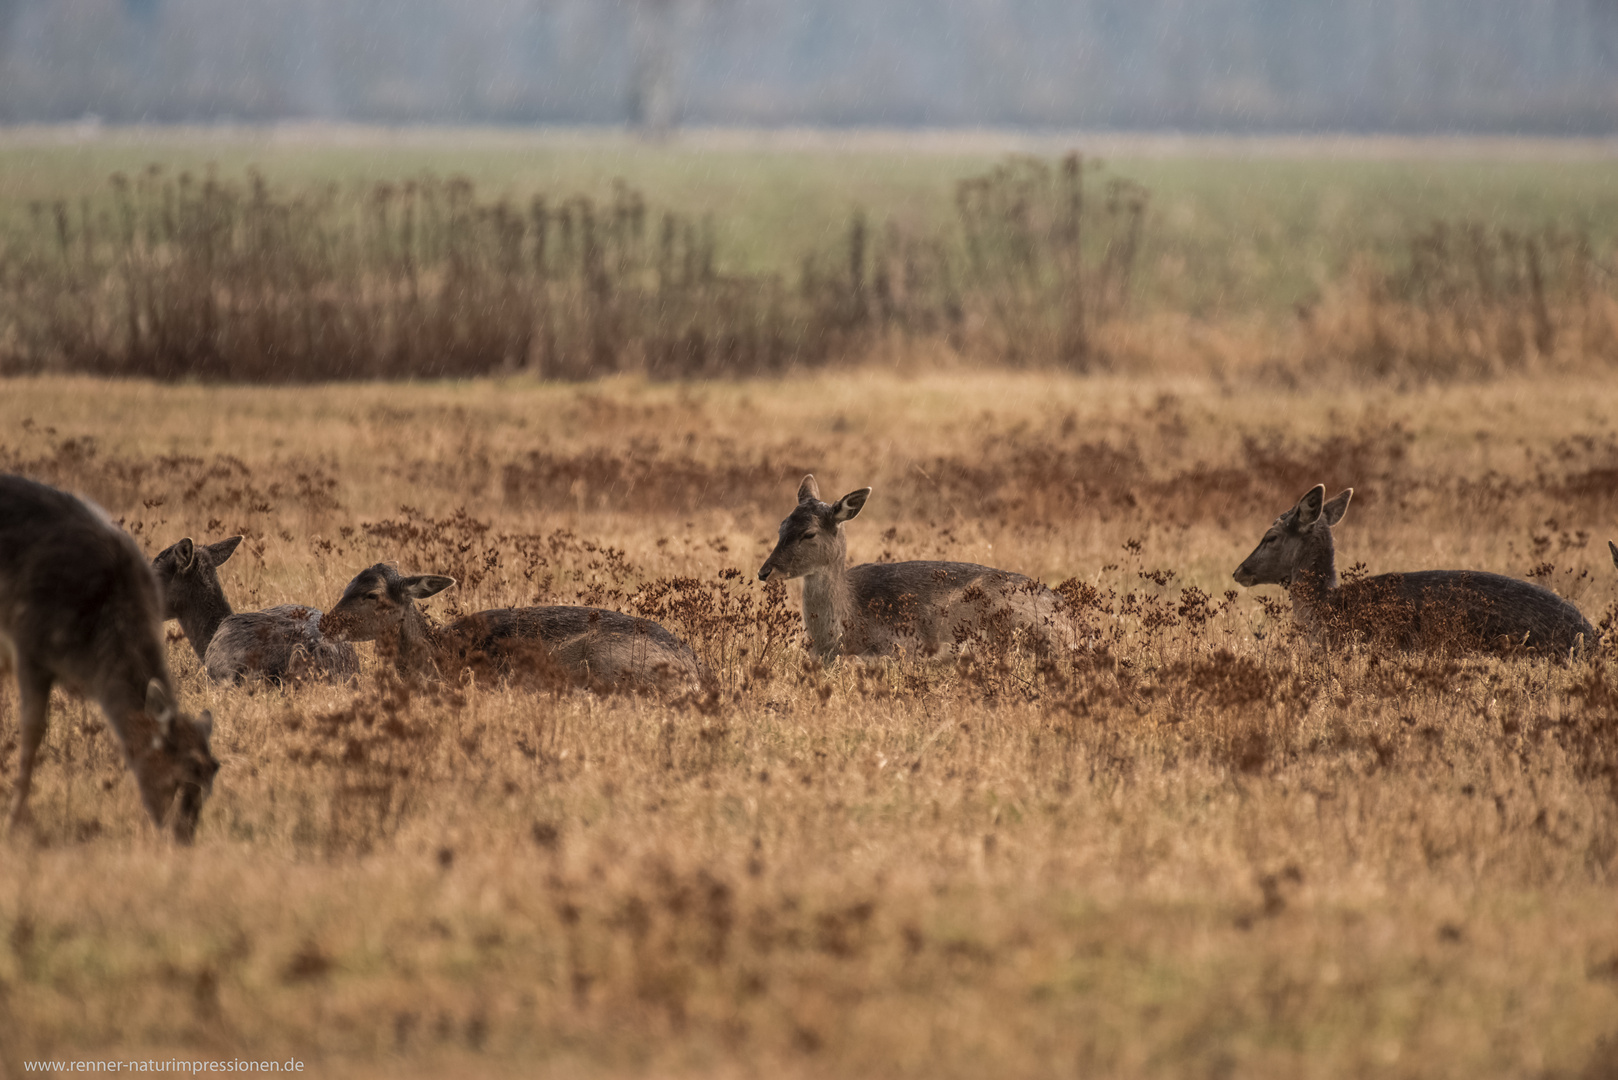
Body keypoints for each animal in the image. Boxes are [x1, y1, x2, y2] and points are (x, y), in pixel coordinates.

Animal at [1, 476, 220, 841]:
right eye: (177, 776)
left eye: (211, 777)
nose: (182, 839)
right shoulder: (29, 645)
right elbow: (32, 730)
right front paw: (15, 820)